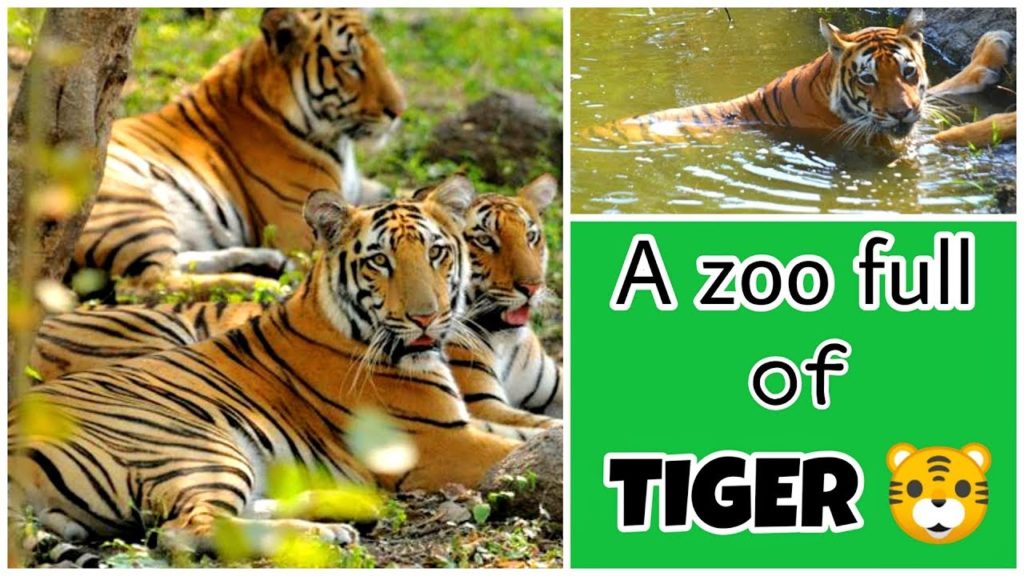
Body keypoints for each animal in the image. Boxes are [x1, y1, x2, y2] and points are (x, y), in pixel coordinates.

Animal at [70, 8, 405, 299]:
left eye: (379, 56)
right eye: (350, 65)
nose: (398, 111)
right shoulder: (301, 227)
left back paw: (263, 261)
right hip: (131, 207)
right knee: (147, 283)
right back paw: (266, 285)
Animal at [580, 9, 1014, 149]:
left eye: (908, 71)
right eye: (868, 79)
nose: (902, 114)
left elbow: (942, 89)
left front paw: (993, 48)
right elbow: (957, 133)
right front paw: (1010, 119)